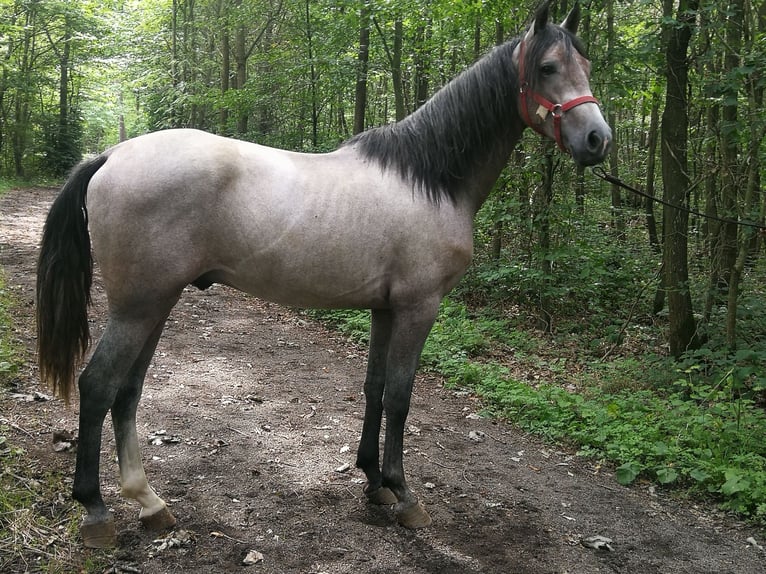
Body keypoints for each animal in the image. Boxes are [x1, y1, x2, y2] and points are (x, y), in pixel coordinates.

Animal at [36, 1, 612, 548]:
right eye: (547, 67)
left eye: (586, 64)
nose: (597, 139)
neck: (428, 179)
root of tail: (111, 154)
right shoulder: (418, 307)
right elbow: (401, 396)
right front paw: (404, 494)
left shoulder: (385, 308)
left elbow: (375, 388)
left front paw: (374, 483)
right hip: (139, 307)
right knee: (98, 385)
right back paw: (96, 510)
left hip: (156, 303)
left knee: (127, 391)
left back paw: (149, 503)